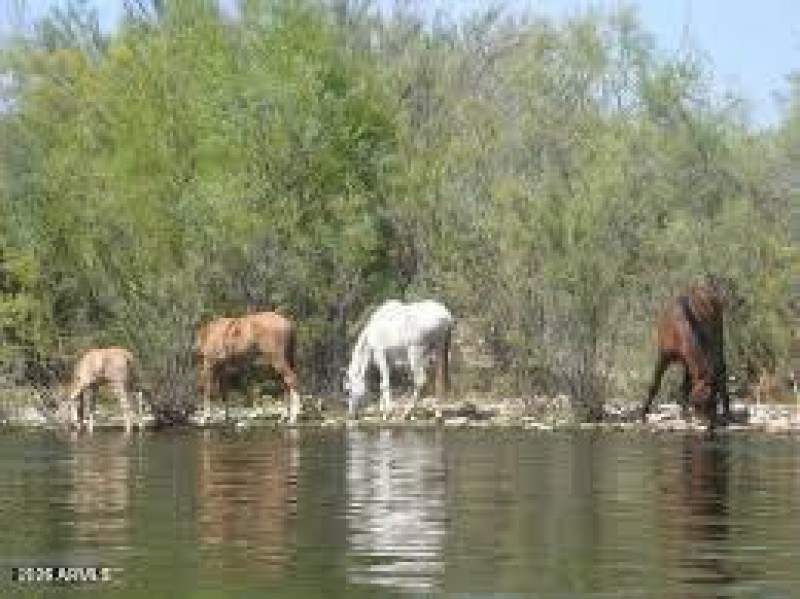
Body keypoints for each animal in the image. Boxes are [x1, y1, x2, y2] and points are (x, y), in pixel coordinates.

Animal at [641, 282, 731, 428]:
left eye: (714, 402)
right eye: (698, 403)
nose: (710, 427)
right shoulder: (664, 356)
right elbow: (654, 384)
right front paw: (643, 414)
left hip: (717, 336)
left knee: (721, 367)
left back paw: (727, 412)